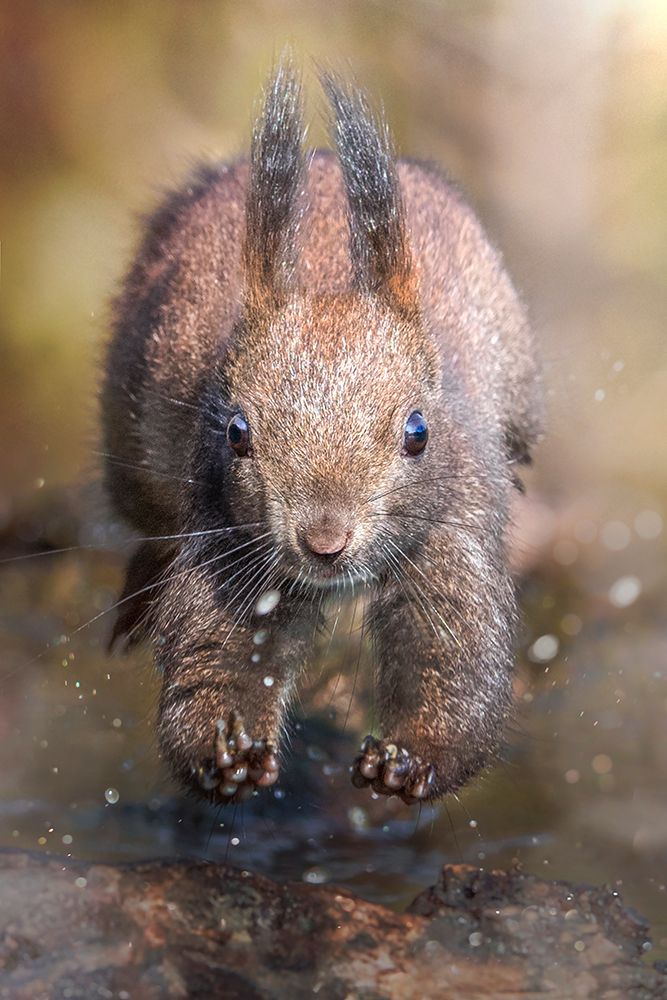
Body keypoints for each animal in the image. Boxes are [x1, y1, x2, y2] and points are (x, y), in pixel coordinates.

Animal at [103, 62, 544, 808]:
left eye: (418, 432)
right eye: (237, 431)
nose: (324, 541)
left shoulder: (453, 524)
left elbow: (454, 653)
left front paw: (409, 759)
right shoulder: (226, 536)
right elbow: (217, 649)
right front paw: (225, 753)